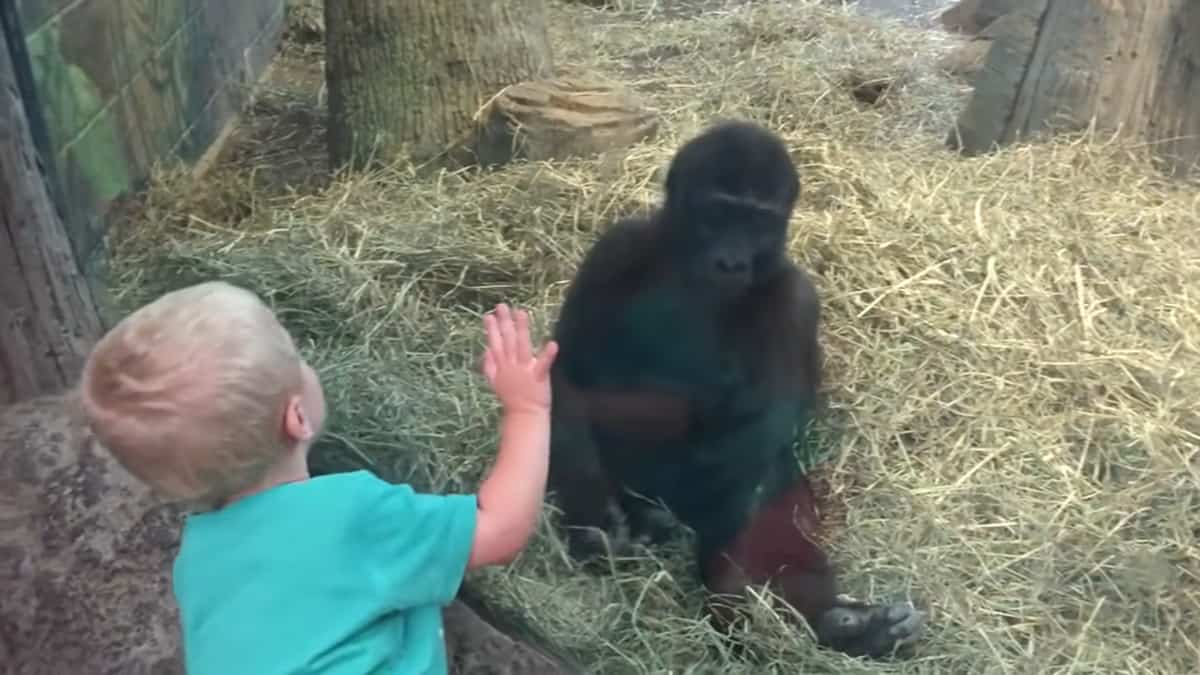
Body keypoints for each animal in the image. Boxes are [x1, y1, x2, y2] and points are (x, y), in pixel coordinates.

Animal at [549, 118, 921, 653]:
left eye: (759, 222)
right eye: (719, 212)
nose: (731, 261)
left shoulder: (795, 300)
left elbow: (758, 440)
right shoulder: (616, 248)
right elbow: (566, 374)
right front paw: (594, 519)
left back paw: (842, 623)